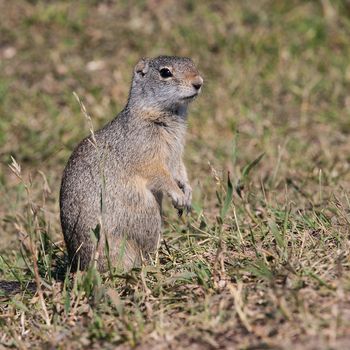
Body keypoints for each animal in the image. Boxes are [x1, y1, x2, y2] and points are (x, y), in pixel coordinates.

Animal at [59, 56, 202, 272]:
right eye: (165, 72)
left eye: (192, 63)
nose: (199, 82)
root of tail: (78, 267)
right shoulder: (148, 155)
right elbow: (161, 175)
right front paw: (178, 196)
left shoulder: (176, 155)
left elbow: (179, 170)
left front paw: (188, 192)